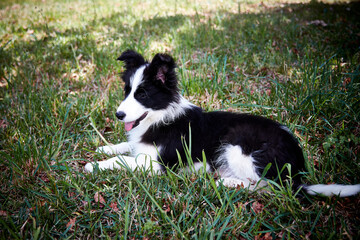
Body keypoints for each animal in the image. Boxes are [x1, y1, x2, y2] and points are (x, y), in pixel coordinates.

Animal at [85, 50, 360, 197]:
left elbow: (123, 160)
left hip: (238, 146)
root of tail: (299, 166)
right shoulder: (141, 147)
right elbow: (125, 146)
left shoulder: (156, 165)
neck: (161, 116)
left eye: (142, 94)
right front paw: (104, 148)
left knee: (269, 186)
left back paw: (225, 182)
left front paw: (93, 165)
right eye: (127, 91)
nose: (119, 115)